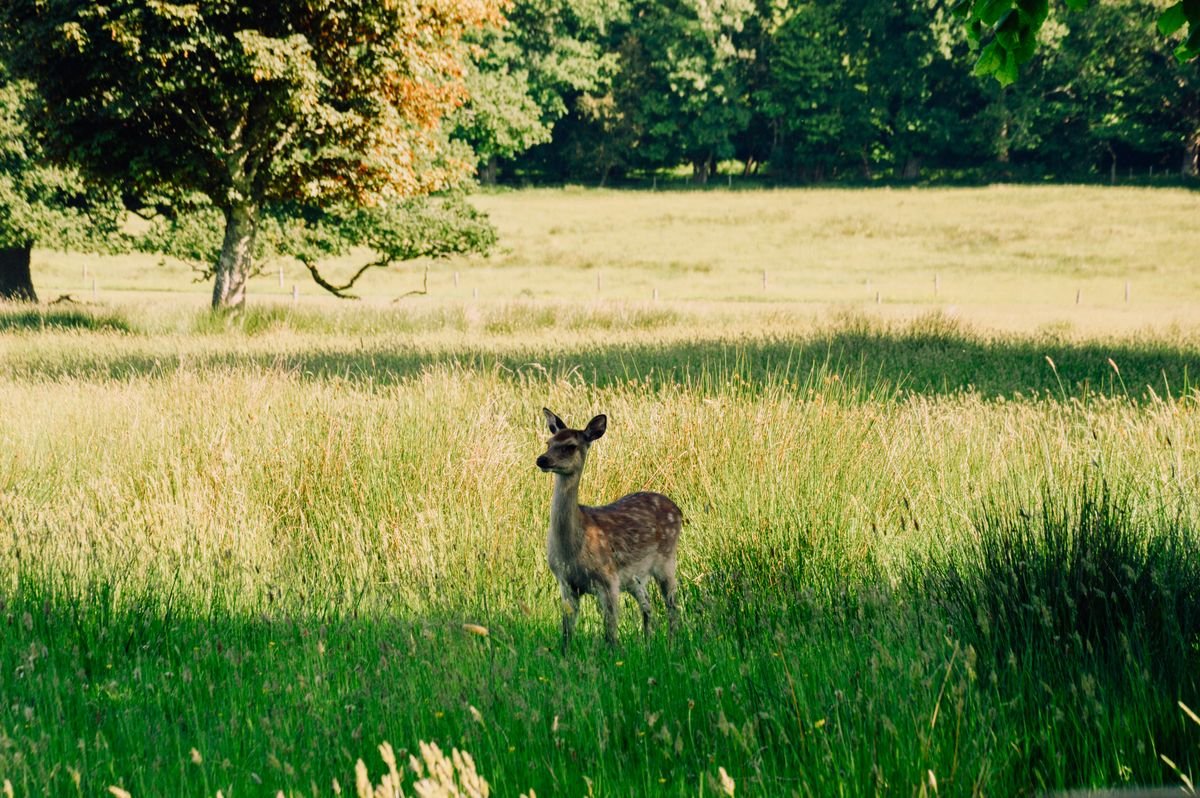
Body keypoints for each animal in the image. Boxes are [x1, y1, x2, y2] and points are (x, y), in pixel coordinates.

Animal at [536, 408, 682, 651]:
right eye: (548, 442)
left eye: (570, 446)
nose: (542, 459)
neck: (573, 548)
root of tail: (678, 510)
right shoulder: (565, 582)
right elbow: (566, 633)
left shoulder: (608, 579)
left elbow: (610, 634)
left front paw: (614, 655)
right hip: (635, 578)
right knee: (647, 605)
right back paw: (648, 643)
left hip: (667, 560)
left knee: (673, 606)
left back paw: (673, 644)